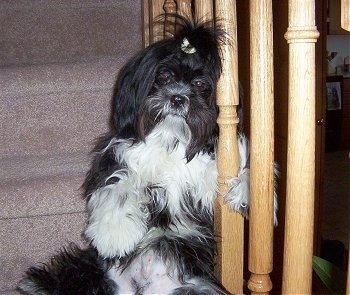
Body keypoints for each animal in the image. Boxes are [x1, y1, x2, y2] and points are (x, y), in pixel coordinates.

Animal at [18, 16, 276, 295]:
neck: (170, 139)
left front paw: (251, 195)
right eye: (163, 76)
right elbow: (119, 184)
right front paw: (114, 235)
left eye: (199, 84)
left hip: (203, 288)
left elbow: (254, 164)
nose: (178, 98)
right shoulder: (116, 155)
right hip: (86, 270)